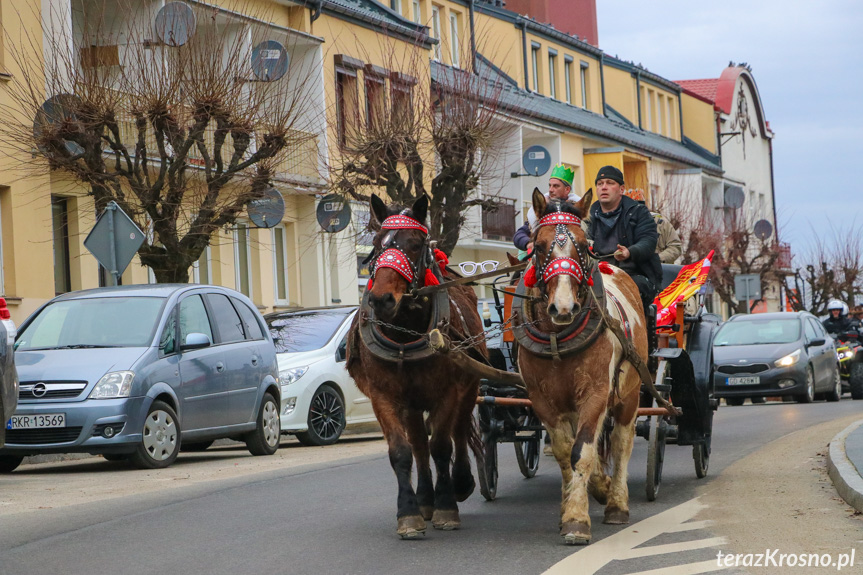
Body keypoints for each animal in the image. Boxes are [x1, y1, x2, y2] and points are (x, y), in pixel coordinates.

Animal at [350, 194, 486, 540]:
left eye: (413, 244)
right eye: (377, 243)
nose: (381, 299)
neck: (404, 334)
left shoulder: (448, 392)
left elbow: (441, 446)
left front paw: (447, 506)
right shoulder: (383, 397)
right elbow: (402, 452)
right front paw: (409, 512)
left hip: (469, 387)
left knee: (458, 431)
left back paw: (460, 483)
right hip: (411, 402)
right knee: (419, 446)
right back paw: (425, 498)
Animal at [512, 191, 648, 548]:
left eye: (584, 246)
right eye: (539, 246)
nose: (563, 308)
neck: (558, 337)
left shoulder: (597, 393)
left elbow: (582, 452)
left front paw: (577, 519)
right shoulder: (544, 401)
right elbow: (564, 452)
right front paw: (572, 506)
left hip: (629, 393)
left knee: (621, 441)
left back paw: (616, 502)